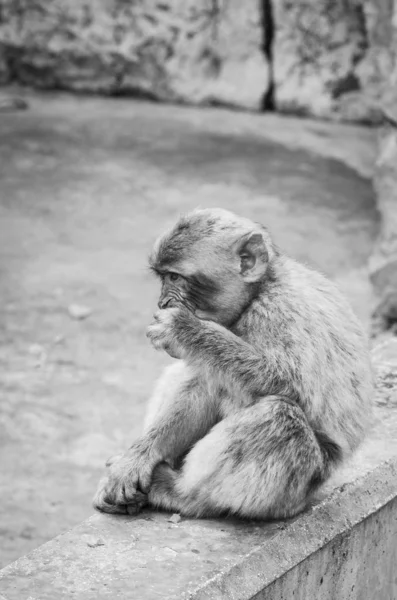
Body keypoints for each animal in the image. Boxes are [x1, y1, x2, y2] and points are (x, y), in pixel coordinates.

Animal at [93, 209, 374, 516]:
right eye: (163, 277)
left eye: (175, 277)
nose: (163, 303)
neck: (257, 294)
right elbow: (204, 387)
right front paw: (137, 459)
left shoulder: (283, 312)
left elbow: (294, 388)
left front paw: (186, 330)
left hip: (300, 488)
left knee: (280, 417)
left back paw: (182, 493)